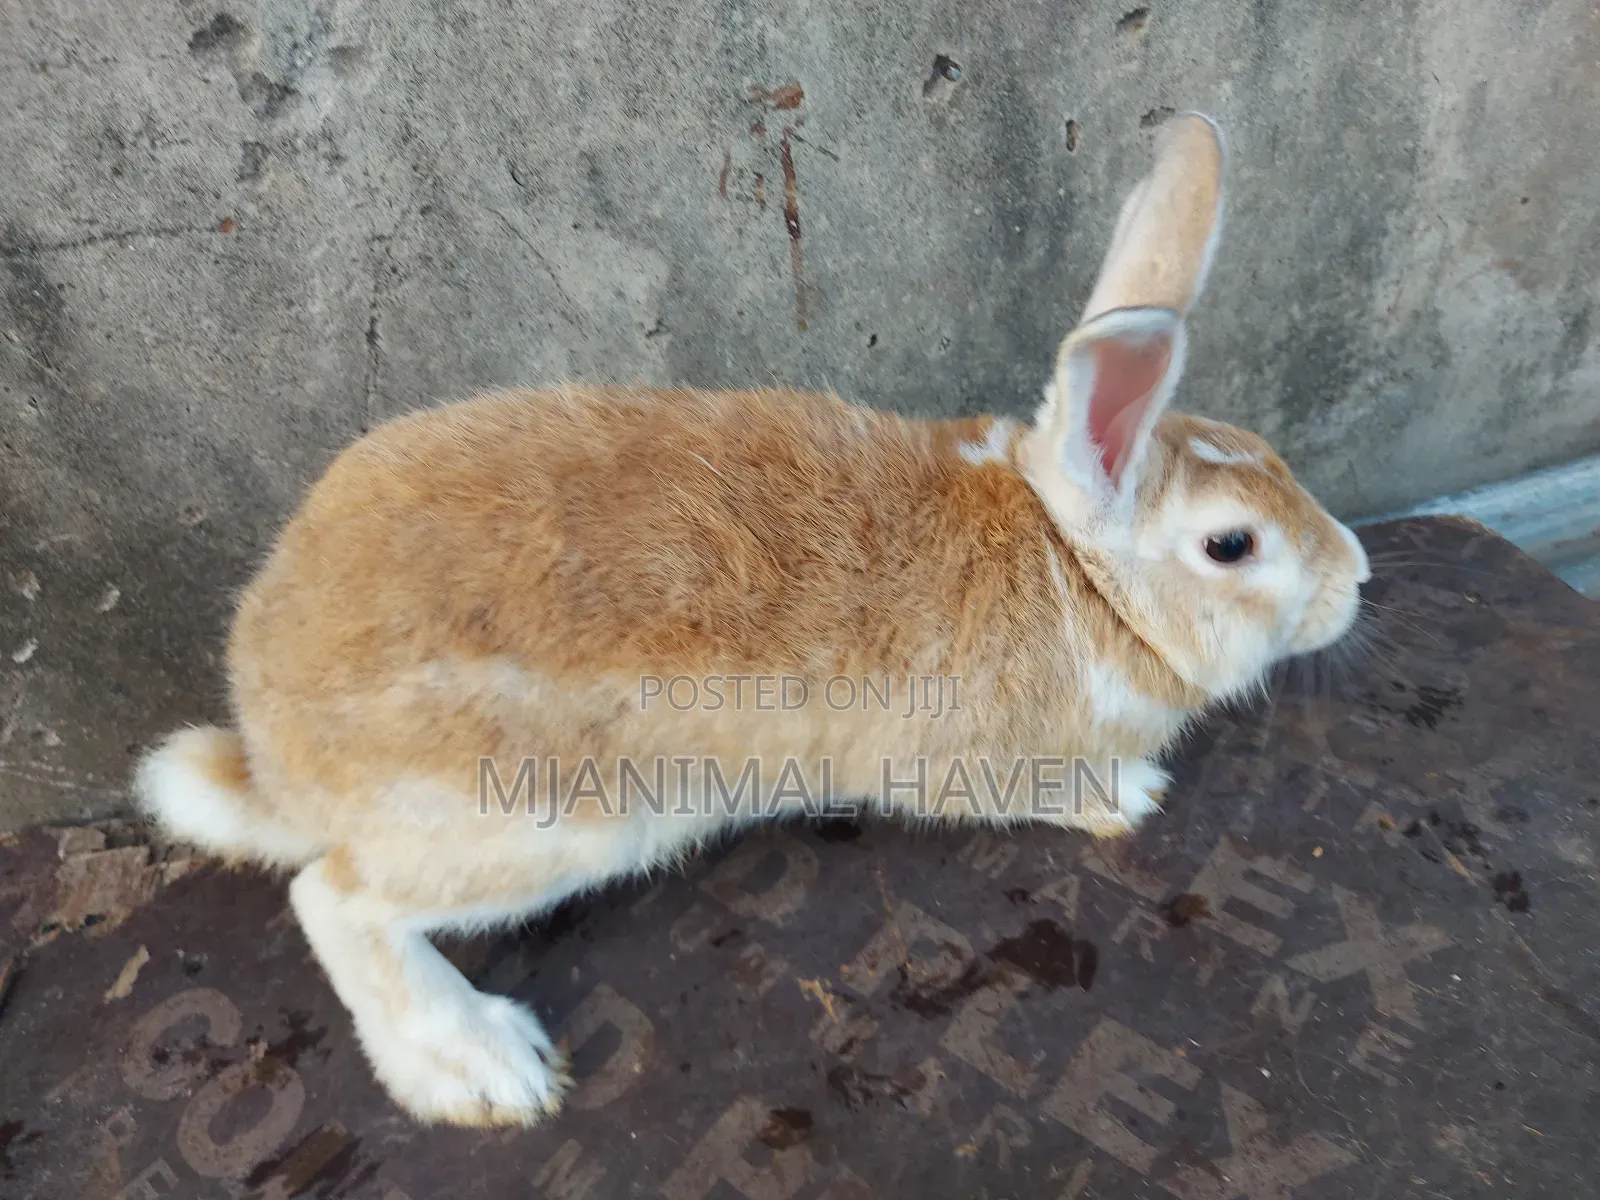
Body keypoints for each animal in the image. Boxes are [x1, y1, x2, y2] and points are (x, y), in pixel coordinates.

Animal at [134, 112, 1370, 1128]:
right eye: (1231, 546)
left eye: (1270, 455)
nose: (1355, 577)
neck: (1072, 566)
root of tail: (276, 755)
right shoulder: (976, 760)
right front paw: (1130, 796)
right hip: (542, 819)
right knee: (333, 898)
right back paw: (481, 1068)